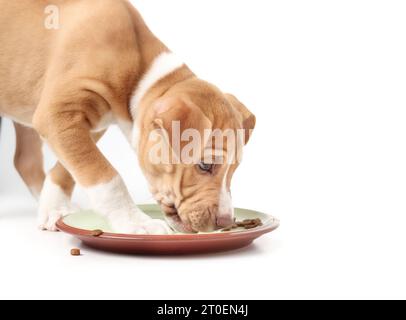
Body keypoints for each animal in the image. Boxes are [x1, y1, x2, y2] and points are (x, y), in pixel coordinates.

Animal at [0, 0, 254, 235]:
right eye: (205, 165)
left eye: (234, 169)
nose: (226, 222)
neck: (140, 72)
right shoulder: (57, 114)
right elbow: (106, 178)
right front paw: (136, 223)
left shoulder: (88, 126)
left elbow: (66, 170)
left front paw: (54, 208)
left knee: (25, 160)